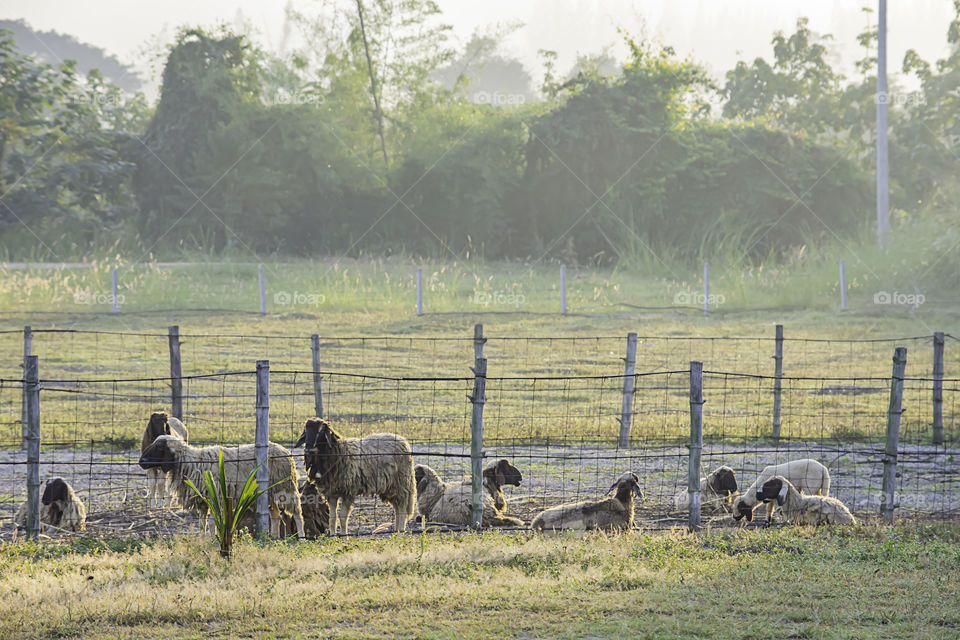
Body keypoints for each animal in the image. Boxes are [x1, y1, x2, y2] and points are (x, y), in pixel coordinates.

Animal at [139, 435, 305, 538]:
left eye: (159, 447)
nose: (141, 462)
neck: (191, 463)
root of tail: (285, 450)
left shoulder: (215, 497)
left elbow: (212, 523)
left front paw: (213, 540)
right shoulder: (203, 501)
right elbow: (202, 524)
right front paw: (203, 540)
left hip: (286, 488)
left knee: (297, 514)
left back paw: (301, 538)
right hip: (269, 494)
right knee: (276, 515)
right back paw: (273, 538)